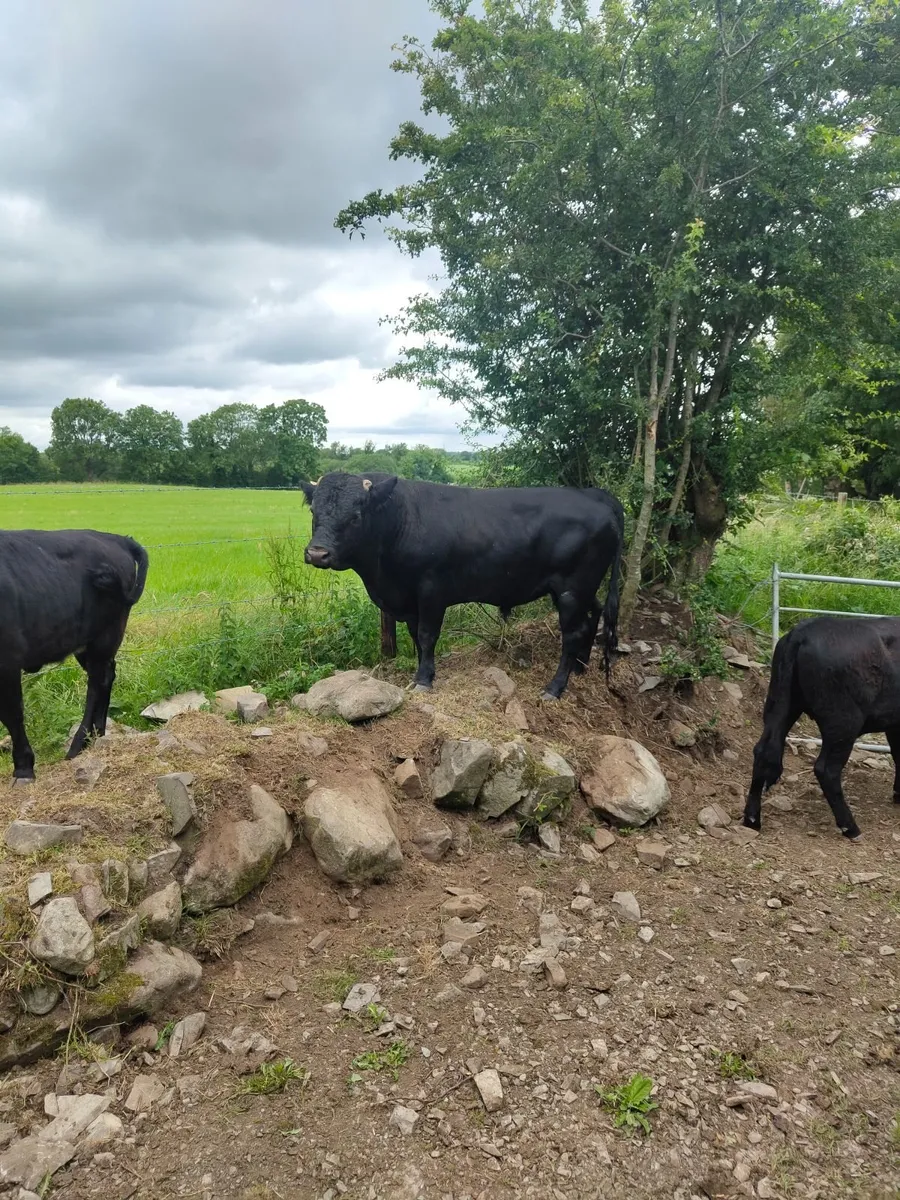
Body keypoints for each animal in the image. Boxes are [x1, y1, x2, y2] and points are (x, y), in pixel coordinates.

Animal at [0, 530, 149, 781]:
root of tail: (115, 537)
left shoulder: (8, 659)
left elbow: (12, 713)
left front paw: (23, 768)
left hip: (105, 635)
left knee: (96, 684)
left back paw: (78, 745)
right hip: (87, 643)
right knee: (108, 675)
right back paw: (98, 734)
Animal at [300, 471, 624, 699]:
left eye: (355, 516)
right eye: (314, 511)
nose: (317, 553)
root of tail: (595, 495)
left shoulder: (431, 590)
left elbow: (427, 635)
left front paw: (423, 680)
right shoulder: (409, 599)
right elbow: (416, 637)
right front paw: (424, 673)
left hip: (572, 589)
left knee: (572, 633)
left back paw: (555, 688)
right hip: (581, 590)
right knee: (592, 616)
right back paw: (580, 668)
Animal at [743, 615, 900, 840]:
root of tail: (801, 632)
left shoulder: (894, 724)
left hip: (780, 706)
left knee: (764, 752)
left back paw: (752, 819)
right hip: (843, 723)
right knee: (827, 770)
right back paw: (850, 827)